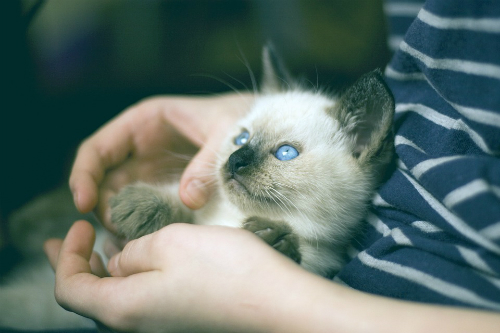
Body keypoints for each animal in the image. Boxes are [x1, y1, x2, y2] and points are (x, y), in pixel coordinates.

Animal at [110, 45, 394, 276]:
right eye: (242, 138)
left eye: (286, 153)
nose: (235, 160)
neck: (232, 219)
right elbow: (184, 207)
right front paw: (139, 206)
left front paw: (274, 239)